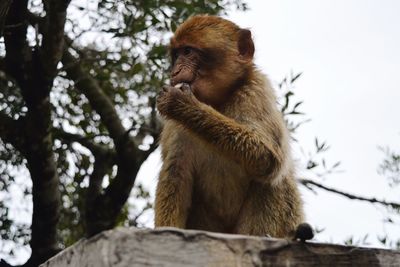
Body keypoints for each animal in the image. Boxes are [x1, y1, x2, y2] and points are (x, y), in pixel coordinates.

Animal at [155, 14, 304, 239]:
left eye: (188, 52)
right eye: (176, 54)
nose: (175, 71)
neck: (218, 100)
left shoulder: (256, 91)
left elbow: (268, 157)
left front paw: (184, 105)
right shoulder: (174, 127)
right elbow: (175, 174)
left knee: (273, 179)